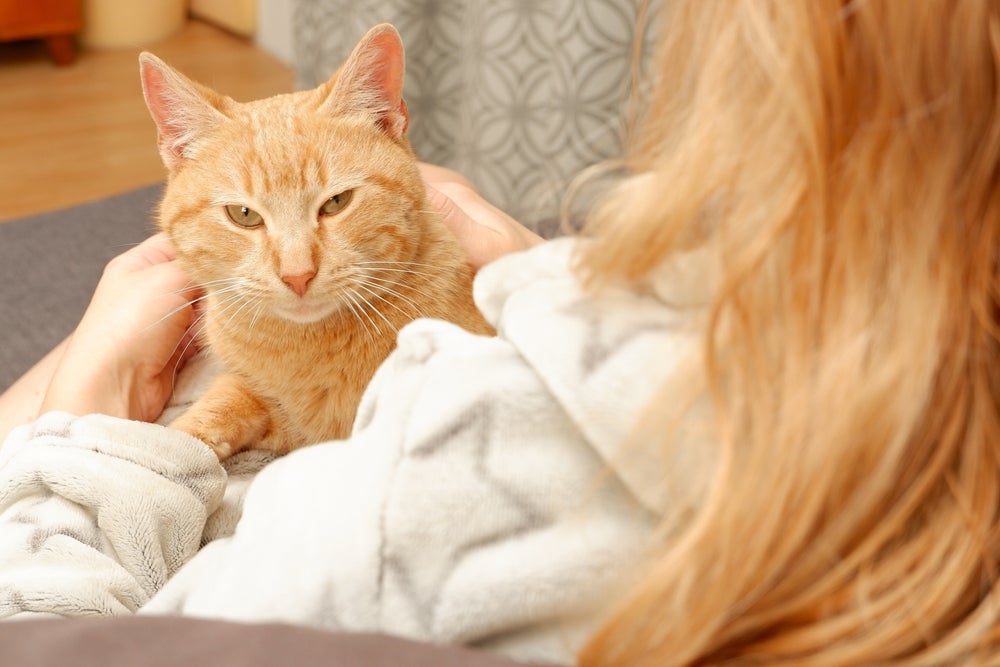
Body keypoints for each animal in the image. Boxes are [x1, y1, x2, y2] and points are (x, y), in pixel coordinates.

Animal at [140, 24, 492, 460]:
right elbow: (217, 406)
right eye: (244, 215)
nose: (298, 275)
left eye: (336, 203)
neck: (306, 348)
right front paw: (180, 442)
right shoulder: (260, 400)